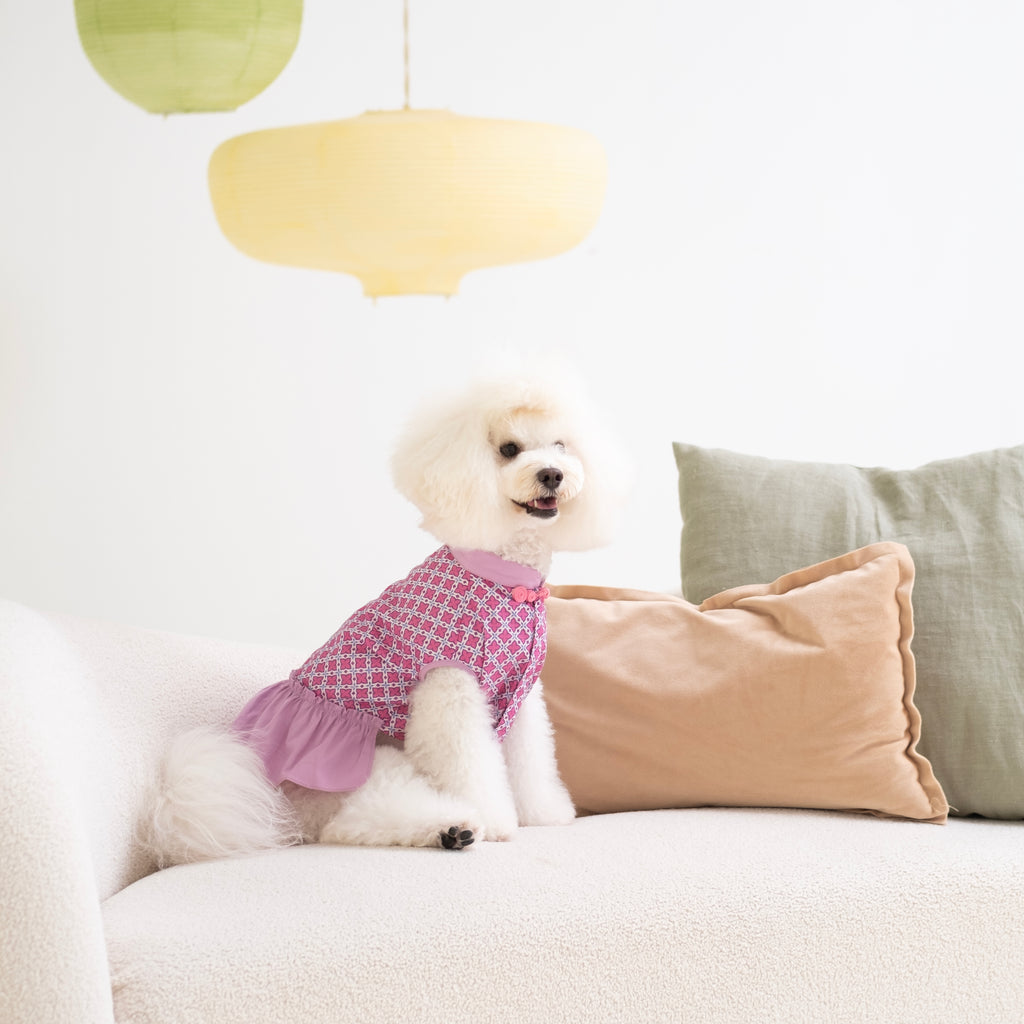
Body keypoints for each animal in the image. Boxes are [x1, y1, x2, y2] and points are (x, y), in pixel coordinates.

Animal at [145, 368, 623, 865]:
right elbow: (470, 766)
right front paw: (496, 821)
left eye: (561, 445)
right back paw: (457, 825)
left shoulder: (520, 697)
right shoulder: (450, 692)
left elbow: (531, 759)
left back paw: (449, 831)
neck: (507, 577)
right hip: (364, 763)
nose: (552, 473)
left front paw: (542, 812)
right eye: (509, 449)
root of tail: (273, 805)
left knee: (347, 826)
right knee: (371, 809)